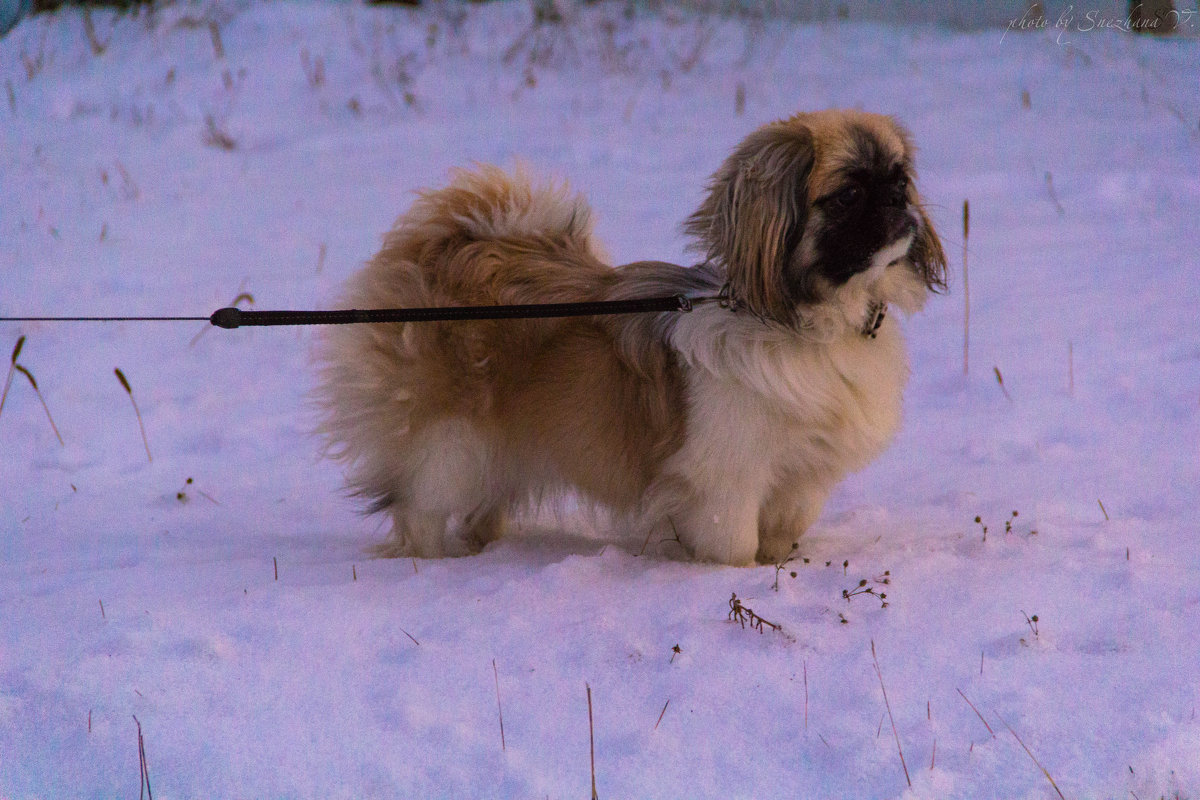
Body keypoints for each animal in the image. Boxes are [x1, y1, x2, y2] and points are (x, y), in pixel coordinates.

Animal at [316, 109, 945, 566]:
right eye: (847, 195)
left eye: (900, 179)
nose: (898, 200)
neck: (810, 325)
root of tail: (447, 248)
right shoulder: (724, 479)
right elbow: (735, 546)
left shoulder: (802, 476)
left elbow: (784, 531)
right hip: (452, 442)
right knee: (419, 507)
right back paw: (432, 565)